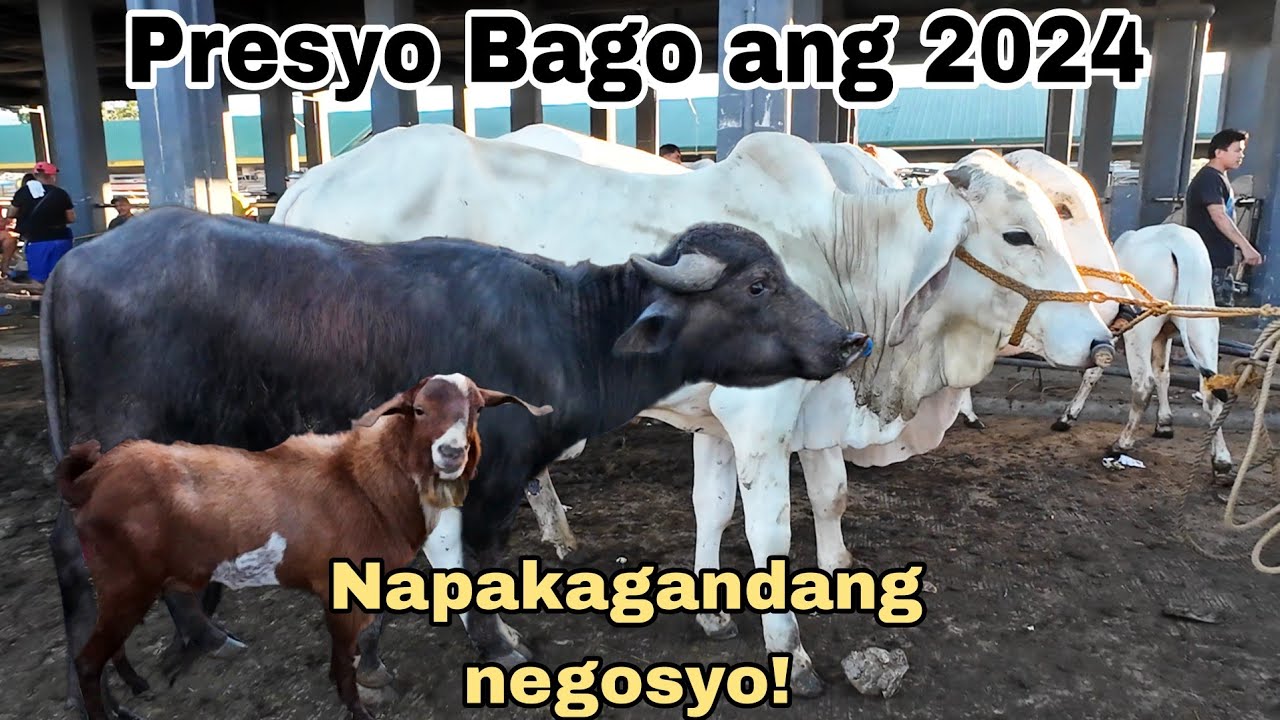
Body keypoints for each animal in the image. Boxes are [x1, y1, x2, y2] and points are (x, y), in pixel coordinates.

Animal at [42, 207, 869, 716]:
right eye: (759, 284)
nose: (848, 340)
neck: (567, 330)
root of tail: (75, 264)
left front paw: (374, 654)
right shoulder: (492, 477)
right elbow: (475, 557)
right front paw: (498, 644)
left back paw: (201, 641)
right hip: (118, 433)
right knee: (73, 550)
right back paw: (99, 689)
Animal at [270, 122, 1116, 696]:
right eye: (1019, 233)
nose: (1103, 339)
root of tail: (310, 184)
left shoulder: (735, 423)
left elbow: (735, 507)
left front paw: (728, 607)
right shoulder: (764, 424)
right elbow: (772, 534)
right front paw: (791, 653)